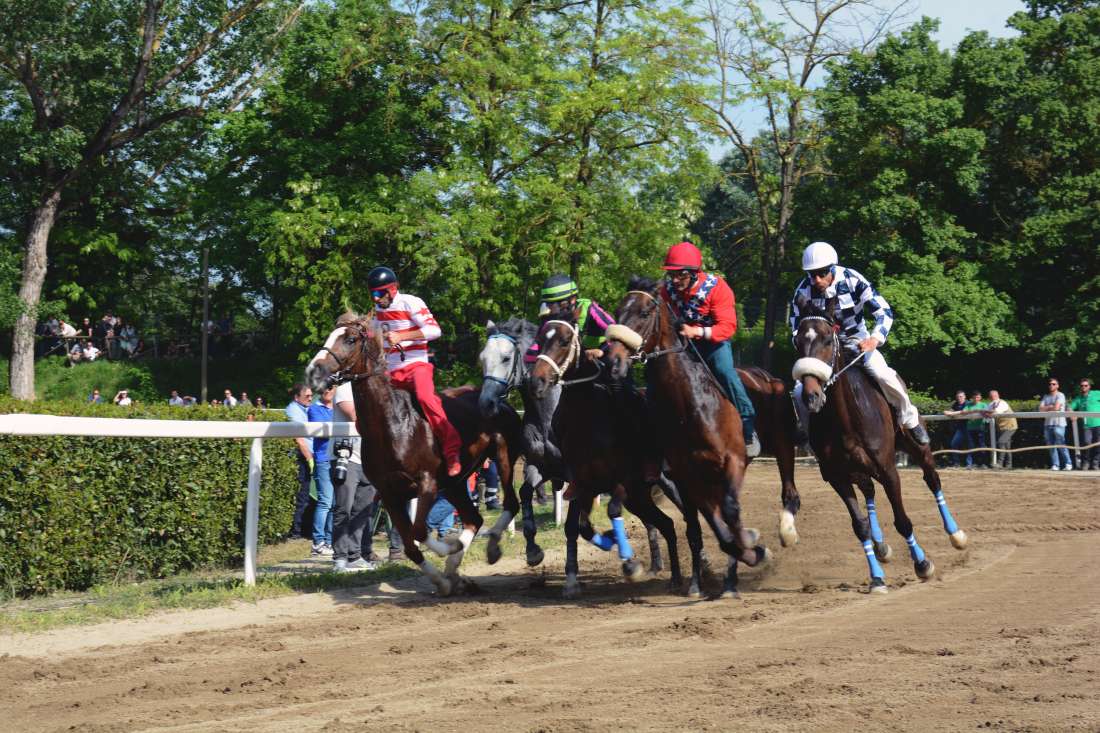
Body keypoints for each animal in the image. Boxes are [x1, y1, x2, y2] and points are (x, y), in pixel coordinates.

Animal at [303, 312, 521, 594]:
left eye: (350, 339)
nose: (313, 371)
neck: (391, 424)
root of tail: (497, 400)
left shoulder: (426, 483)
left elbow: (418, 531)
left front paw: (449, 547)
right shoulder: (389, 494)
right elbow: (409, 546)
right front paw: (442, 579)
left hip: (503, 457)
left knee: (511, 504)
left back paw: (490, 548)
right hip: (455, 483)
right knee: (474, 518)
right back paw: (455, 571)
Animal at [528, 316, 682, 598]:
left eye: (564, 341)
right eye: (540, 339)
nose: (537, 381)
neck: (587, 417)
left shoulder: (621, 479)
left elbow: (610, 510)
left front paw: (629, 562)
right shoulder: (583, 483)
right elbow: (580, 527)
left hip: (665, 484)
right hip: (639, 497)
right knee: (665, 524)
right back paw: (673, 576)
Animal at [602, 277, 774, 598]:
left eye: (645, 312)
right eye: (617, 311)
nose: (613, 361)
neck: (690, 406)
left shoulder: (732, 462)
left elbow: (730, 514)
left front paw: (754, 553)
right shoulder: (686, 475)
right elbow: (703, 530)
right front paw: (700, 580)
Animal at [796, 294, 968, 589]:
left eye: (828, 339)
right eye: (798, 341)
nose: (812, 396)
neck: (845, 422)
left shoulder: (888, 470)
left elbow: (903, 521)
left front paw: (922, 564)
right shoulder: (837, 477)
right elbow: (860, 525)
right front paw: (876, 577)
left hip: (917, 448)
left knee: (932, 480)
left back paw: (955, 534)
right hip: (858, 471)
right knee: (869, 492)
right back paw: (880, 547)